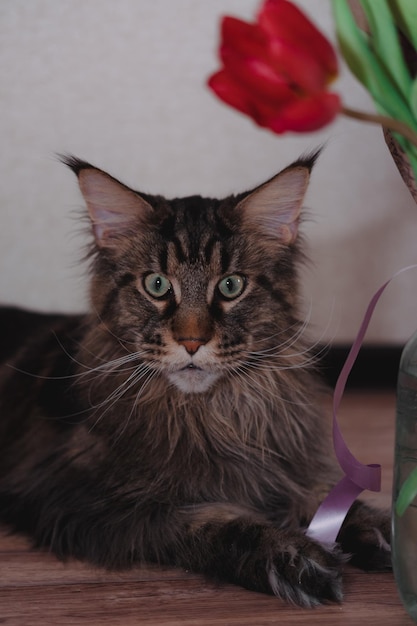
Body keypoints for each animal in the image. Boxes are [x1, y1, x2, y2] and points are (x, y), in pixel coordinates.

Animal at [0, 154, 388, 608]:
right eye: (156, 284)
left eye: (231, 286)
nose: (191, 341)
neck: (212, 418)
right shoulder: (86, 500)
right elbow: (216, 523)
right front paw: (293, 556)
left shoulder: (282, 465)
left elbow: (322, 495)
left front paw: (380, 529)